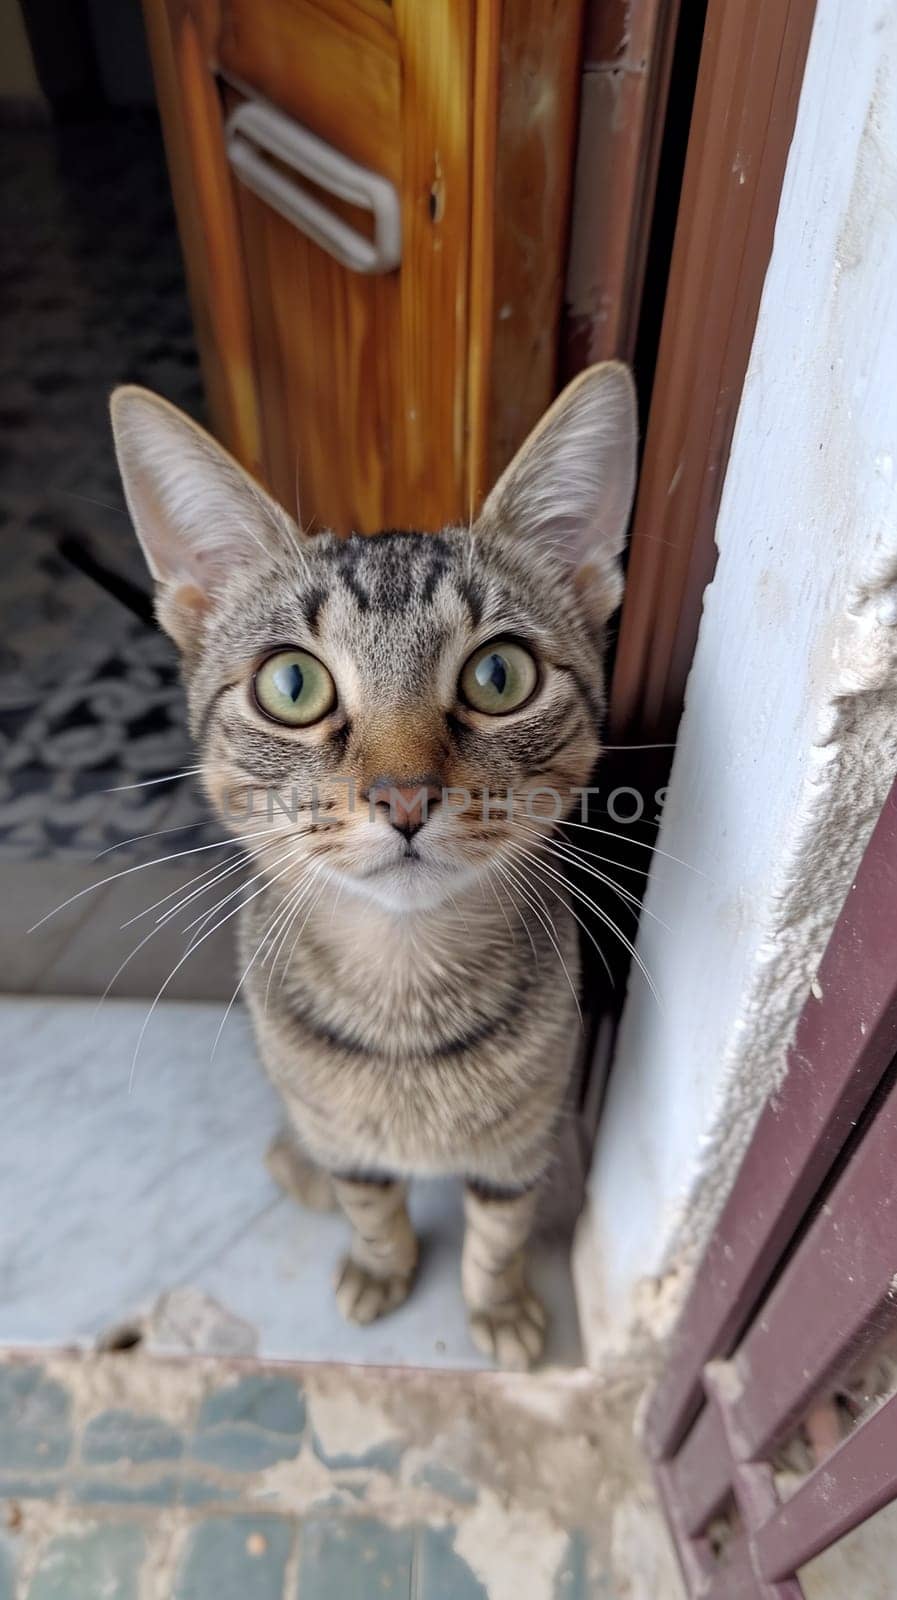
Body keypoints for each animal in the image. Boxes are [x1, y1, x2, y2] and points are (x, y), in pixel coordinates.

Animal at [111, 360, 636, 1363]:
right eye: (292, 683)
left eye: (499, 675)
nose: (403, 795)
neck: (404, 994)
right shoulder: (349, 1139)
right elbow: (372, 1204)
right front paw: (380, 1265)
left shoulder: (517, 1147)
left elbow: (499, 1234)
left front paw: (498, 1307)